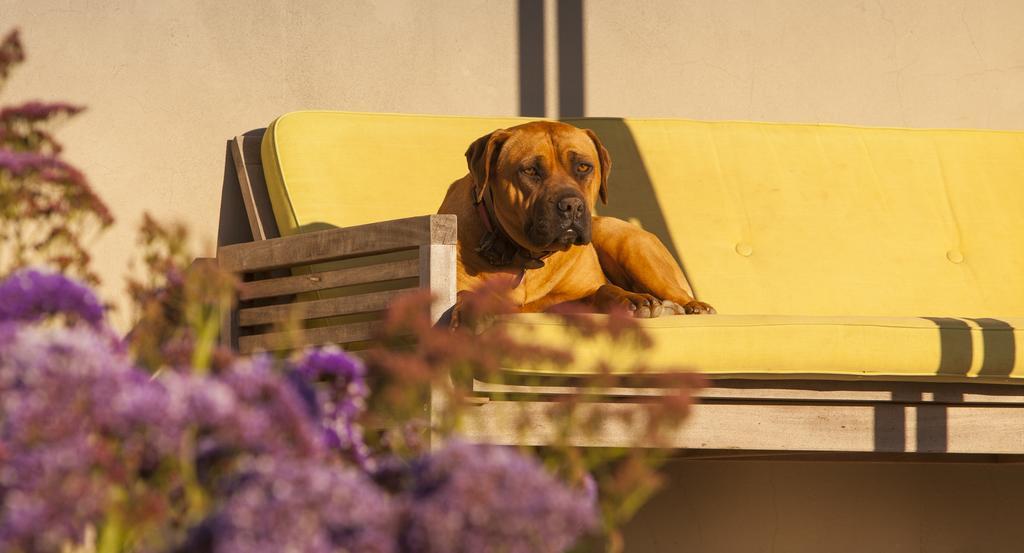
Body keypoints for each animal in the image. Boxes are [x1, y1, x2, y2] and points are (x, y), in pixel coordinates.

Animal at [436, 120, 716, 323]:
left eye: (583, 167)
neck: (526, 257)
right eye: (530, 170)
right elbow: (464, 293)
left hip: (624, 240)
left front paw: (632, 300)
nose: (571, 205)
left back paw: (690, 306)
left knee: (675, 292)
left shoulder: (575, 296)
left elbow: (603, 289)